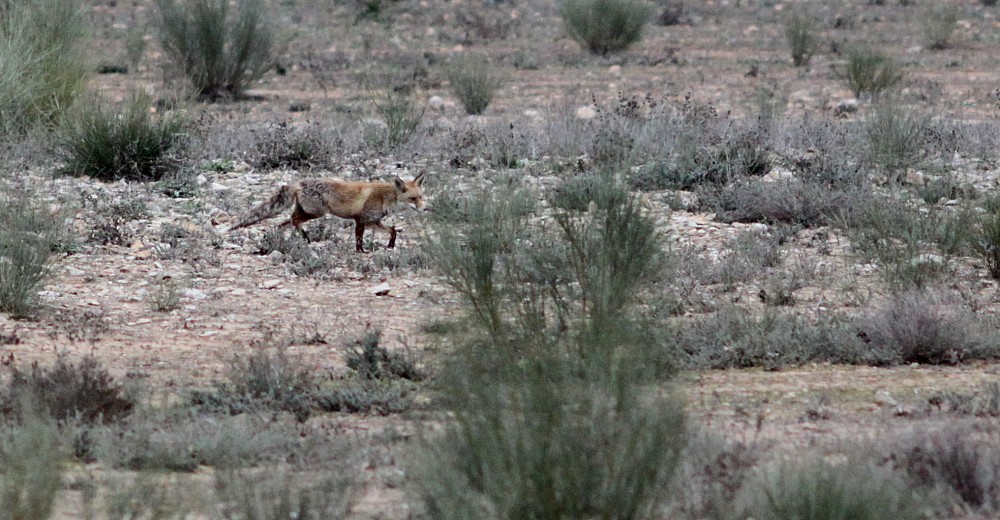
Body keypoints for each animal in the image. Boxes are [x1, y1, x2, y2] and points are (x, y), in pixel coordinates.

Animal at [230, 173, 426, 254]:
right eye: (412, 199)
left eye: (421, 197)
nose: (425, 209)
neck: (386, 197)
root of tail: (299, 183)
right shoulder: (361, 220)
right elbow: (359, 239)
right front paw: (361, 252)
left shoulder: (373, 222)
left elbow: (393, 231)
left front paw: (391, 245)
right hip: (317, 213)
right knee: (294, 220)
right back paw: (305, 238)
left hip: (307, 212)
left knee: (283, 223)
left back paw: (283, 239)